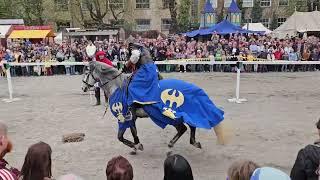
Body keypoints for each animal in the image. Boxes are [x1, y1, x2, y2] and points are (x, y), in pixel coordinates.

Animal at [81, 61, 229, 154]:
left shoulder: (126, 117)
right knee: (188, 127)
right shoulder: (132, 118)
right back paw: (190, 142)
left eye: (86, 73)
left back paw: (174, 144)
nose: (83, 88)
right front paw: (136, 146)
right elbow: (130, 133)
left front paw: (137, 146)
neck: (118, 87)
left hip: (173, 115)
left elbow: (122, 136)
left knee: (185, 127)